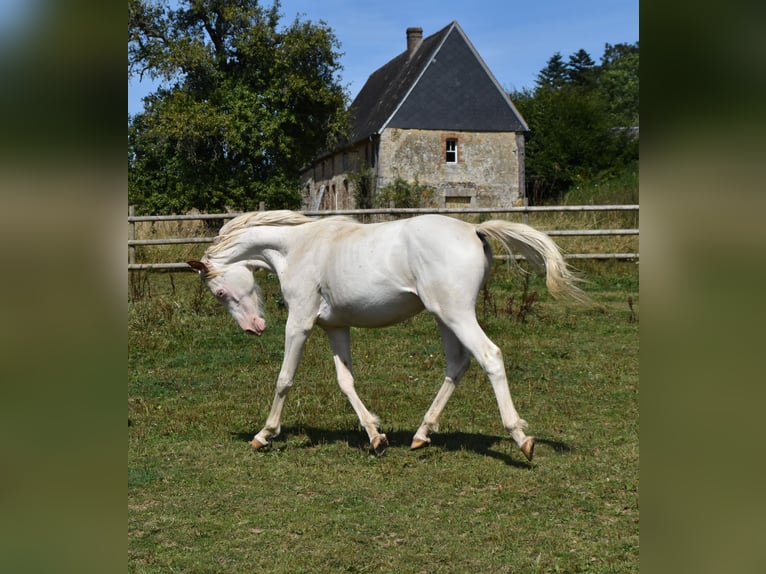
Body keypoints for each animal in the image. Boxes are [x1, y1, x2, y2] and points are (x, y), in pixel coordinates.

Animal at [189, 212, 584, 464]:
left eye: (219, 292)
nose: (254, 328)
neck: (298, 249)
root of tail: (475, 230)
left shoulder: (299, 322)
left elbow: (284, 379)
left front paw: (264, 435)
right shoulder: (335, 327)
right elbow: (346, 381)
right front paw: (376, 437)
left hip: (456, 314)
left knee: (489, 356)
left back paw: (521, 439)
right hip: (443, 316)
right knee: (457, 365)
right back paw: (421, 435)